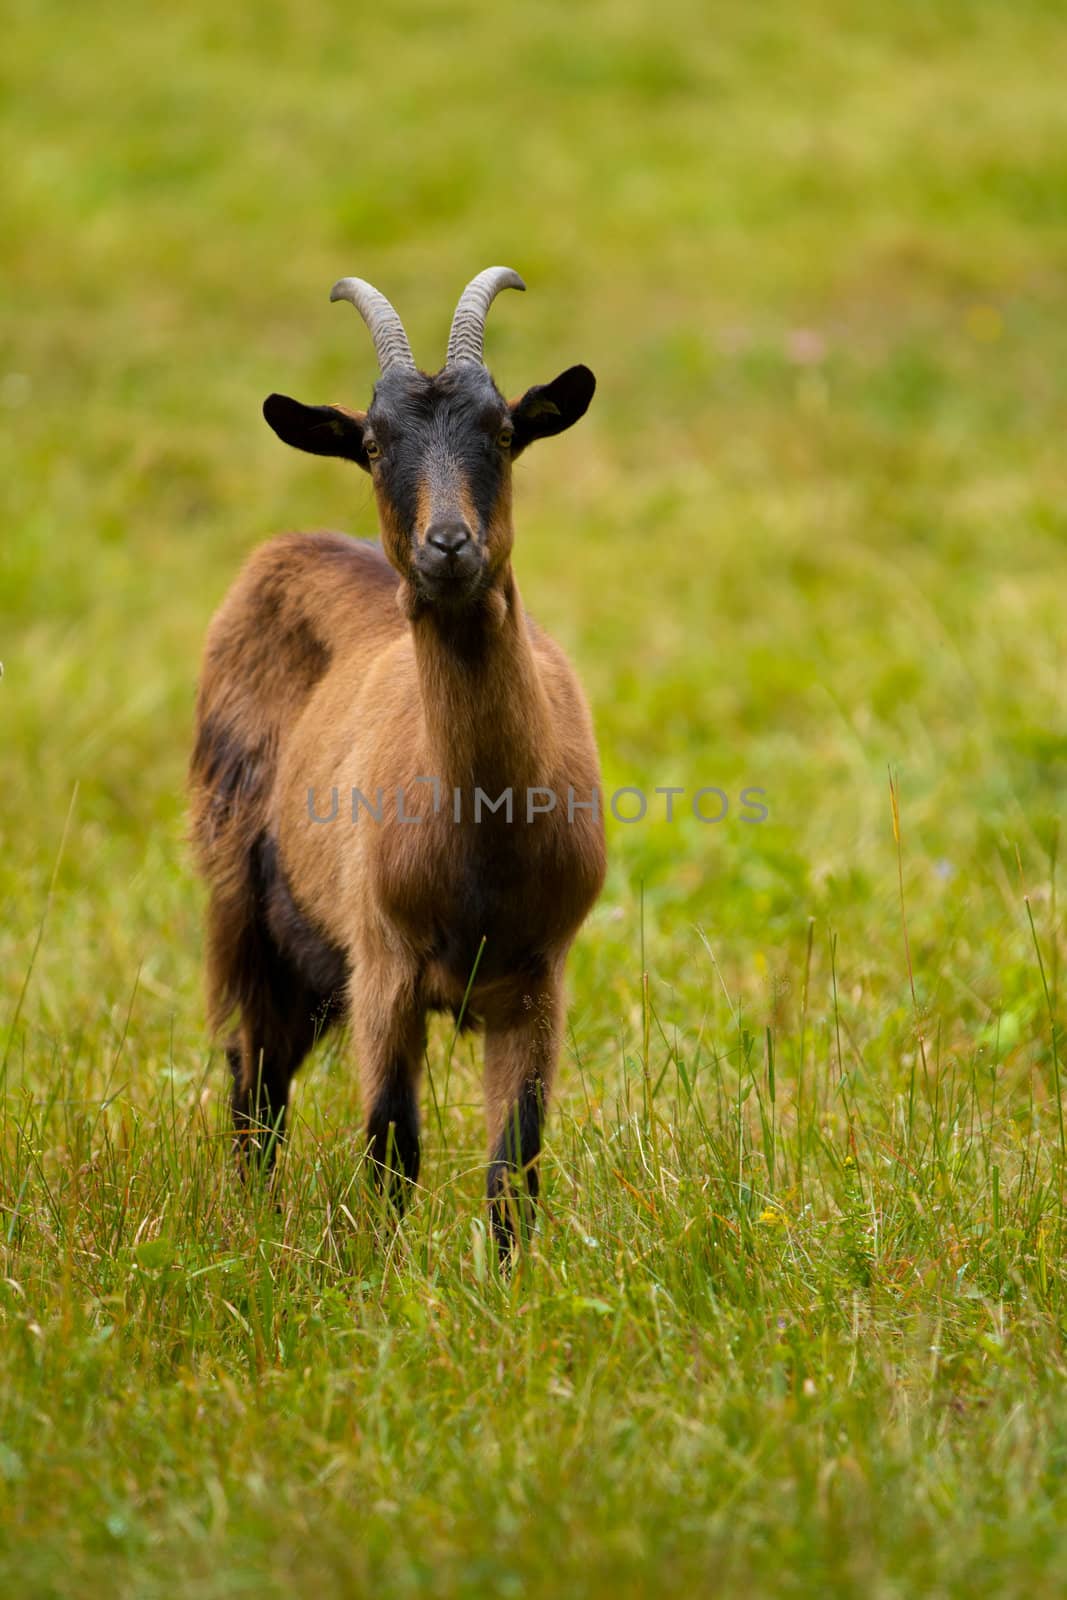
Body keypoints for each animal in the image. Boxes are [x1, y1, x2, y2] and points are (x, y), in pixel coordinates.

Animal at [189, 268, 607, 1254]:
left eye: (505, 432)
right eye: (374, 445)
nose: (447, 545)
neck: (484, 846)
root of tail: (292, 545)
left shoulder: (538, 980)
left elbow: (513, 1169)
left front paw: (508, 1286)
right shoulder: (383, 964)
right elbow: (391, 1150)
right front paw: (383, 1282)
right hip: (242, 899)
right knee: (253, 1080)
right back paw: (252, 1223)